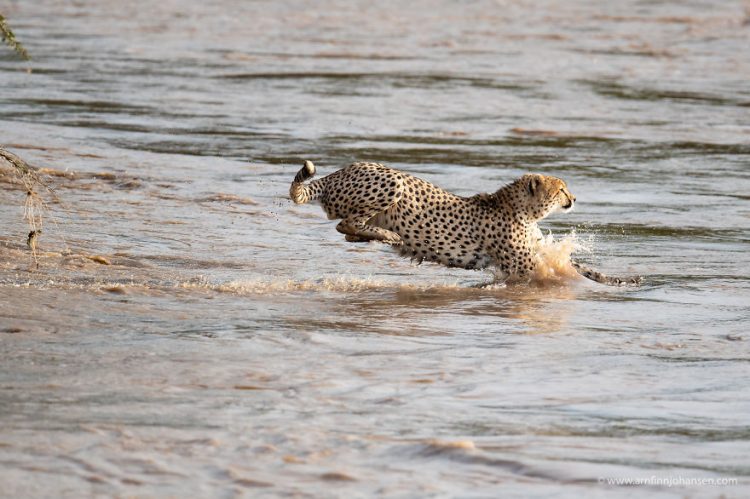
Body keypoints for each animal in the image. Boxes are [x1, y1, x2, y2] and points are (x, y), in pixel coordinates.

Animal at [290, 160, 644, 286]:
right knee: (345, 225)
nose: (575, 198)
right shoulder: (525, 264)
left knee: (346, 232)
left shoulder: (536, 253)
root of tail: (342, 171)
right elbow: (564, 271)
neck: (521, 210)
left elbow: (583, 267)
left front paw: (618, 280)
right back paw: (388, 234)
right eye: (561, 189)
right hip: (393, 182)